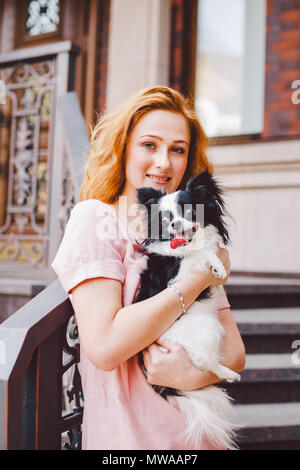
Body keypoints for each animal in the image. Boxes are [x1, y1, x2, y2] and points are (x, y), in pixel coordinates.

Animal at [135, 171, 240, 450]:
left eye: (190, 211)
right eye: (164, 219)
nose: (174, 224)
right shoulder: (179, 272)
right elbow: (199, 255)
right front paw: (215, 264)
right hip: (208, 329)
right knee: (204, 361)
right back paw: (228, 374)